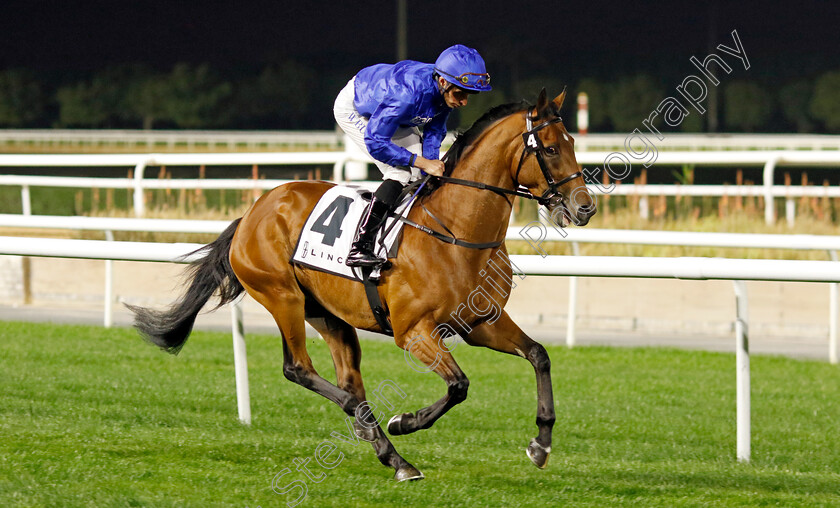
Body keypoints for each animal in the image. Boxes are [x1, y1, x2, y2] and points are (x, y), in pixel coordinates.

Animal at [128, 89, 592, 482]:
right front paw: (404, 421)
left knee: (349, 379)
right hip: (282, 297)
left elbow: (539, 355)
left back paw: (393, 457)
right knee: (301, 370)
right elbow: (459, 385)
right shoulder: (414, 333)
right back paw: (376, 430)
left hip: (329, 315)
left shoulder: (481, 323)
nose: (584, 206)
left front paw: (541, 444)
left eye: (572, 141)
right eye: (550, 148)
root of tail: (252, 212)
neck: (456, 232)